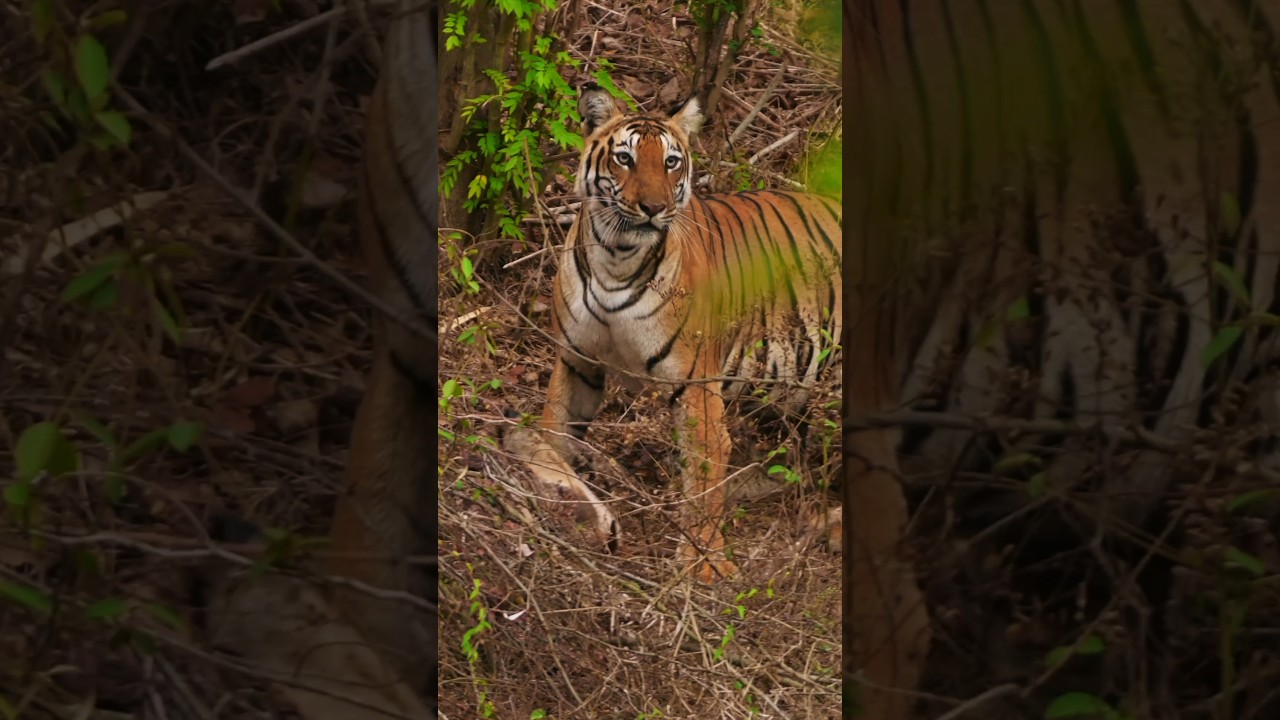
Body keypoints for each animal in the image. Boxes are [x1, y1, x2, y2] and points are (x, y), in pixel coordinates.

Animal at [506, 84, 842, 584]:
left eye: (670, 162)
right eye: (624, 159)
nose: (653, 208)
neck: (617, 257)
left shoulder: (696, 384)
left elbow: (703, 473)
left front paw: (703, 565)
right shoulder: (577, 362)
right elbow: (557, 431)